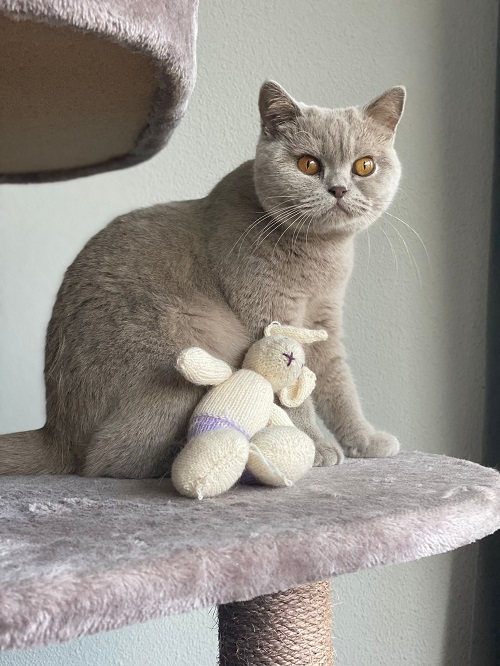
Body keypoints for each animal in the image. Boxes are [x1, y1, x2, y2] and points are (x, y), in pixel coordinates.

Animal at [0, 81, 406, 478]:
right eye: (308, 164)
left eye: (364, 166)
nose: (339, 189)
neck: (321, 256)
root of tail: (57, 431)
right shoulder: (270, 315)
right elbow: (292, 390)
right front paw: (313, 446)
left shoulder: (324, 320)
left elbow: (339, 385)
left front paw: (365, 441)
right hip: (184, 345)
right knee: (107, 459)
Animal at [172, 322, 328, 498]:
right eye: (283, 338)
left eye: (301, 365)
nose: (291, 356)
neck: (260, 376)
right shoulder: (231, 372)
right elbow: (219, 369)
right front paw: (185, 358)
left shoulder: (272, 407)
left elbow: (279, 415)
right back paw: (196, 479)